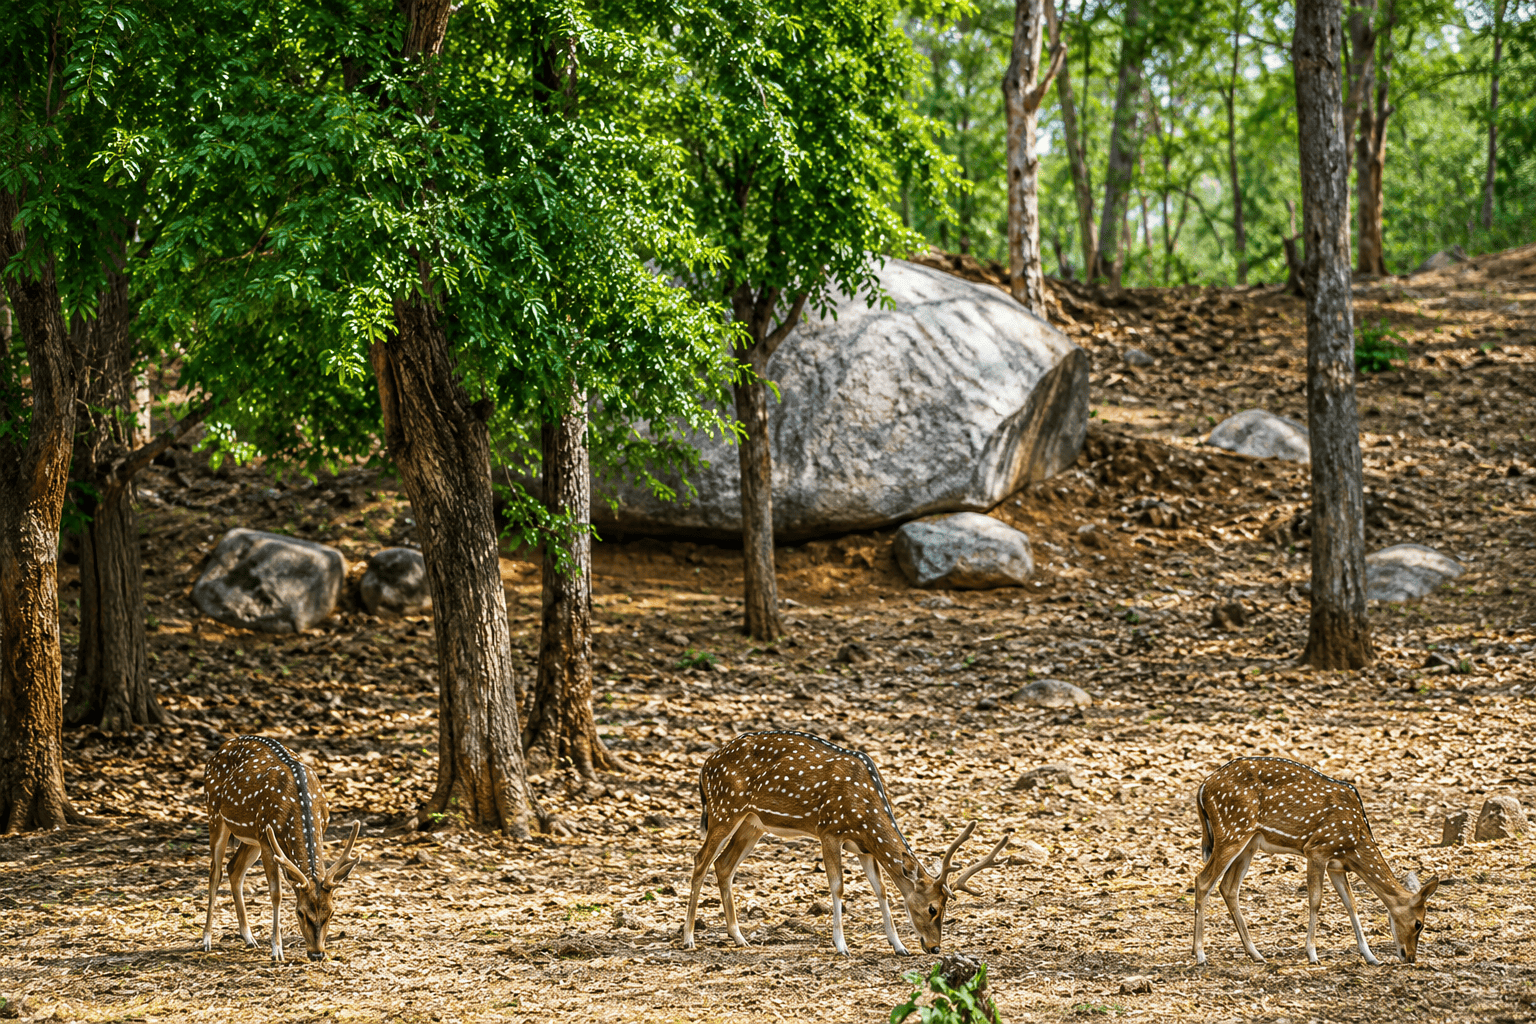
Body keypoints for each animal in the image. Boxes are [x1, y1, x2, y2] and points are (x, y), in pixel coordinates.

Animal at [201, 735, 362, 961]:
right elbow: (276, 893)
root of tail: (221, 747)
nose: (317, 954)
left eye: (331, 912)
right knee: (215, 873)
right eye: (300, 912)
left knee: (234, 868)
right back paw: (206, 940)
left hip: (251, 836)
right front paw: (277, 950)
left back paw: (249, 938)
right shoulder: (267, 840)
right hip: (215, 813)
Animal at [684, 730, 1009, 956]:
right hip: (725, 808)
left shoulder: (864, 847)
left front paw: (899, 946)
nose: (935, 947)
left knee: (724, 865)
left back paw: (739, 937)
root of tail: (705, 766)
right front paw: (841, 945)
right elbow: (838, 886)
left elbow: (882, 891)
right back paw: (688, 938)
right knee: (701, 860)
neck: (864, 812)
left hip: (752, 823)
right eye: (932, 909)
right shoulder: (829, 830)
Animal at [1193, 756, 1439, 966]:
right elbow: (1316, 900)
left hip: (1249, 842)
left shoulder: (1337, 866)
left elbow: (1351, 904)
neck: (1355, 843)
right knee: (1203, 880)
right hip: (1232, 829)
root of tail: (1203, 786)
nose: (1410, 957)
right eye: (1419, 923)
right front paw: (1312, 954)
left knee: (1228, 887)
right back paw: (1200, 955)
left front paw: (1371, 957)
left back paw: (1256, 954)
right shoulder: (1317, 849)